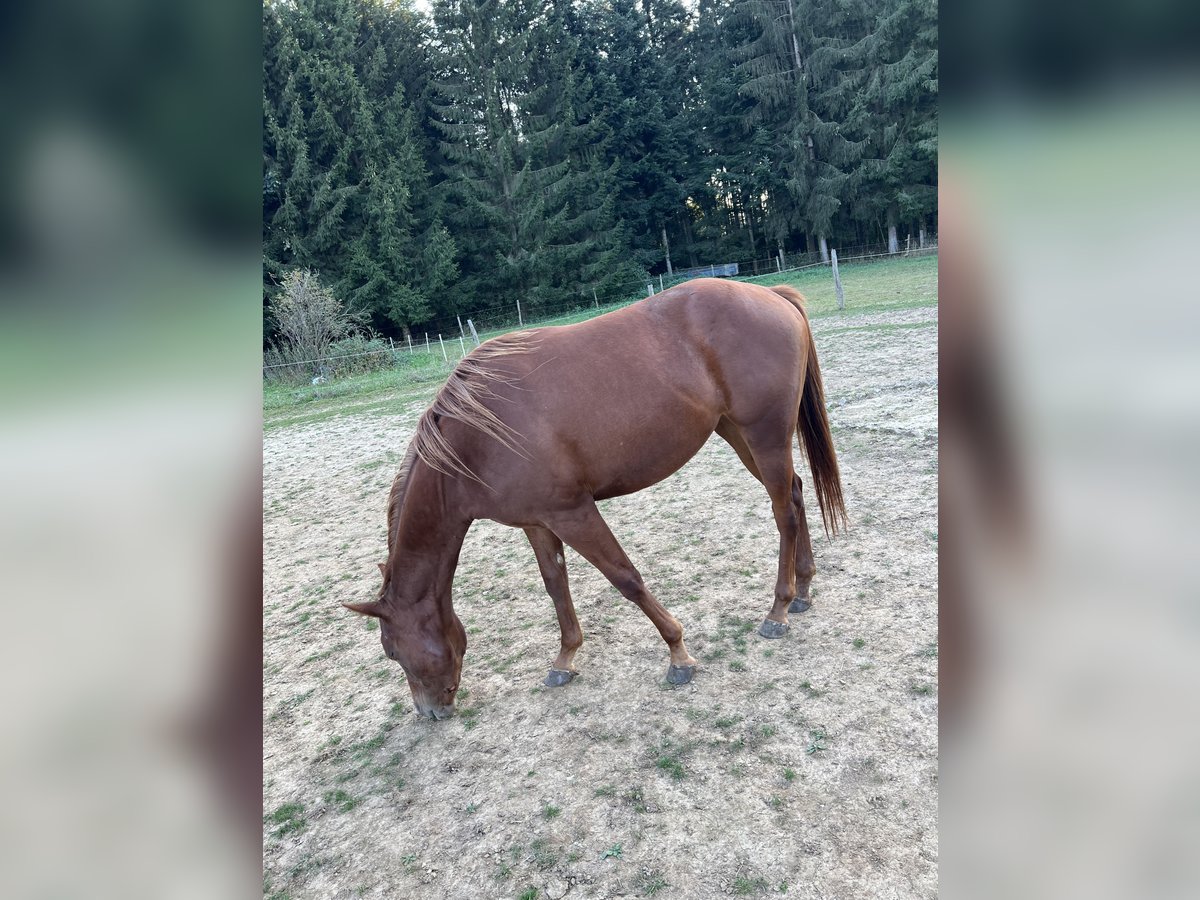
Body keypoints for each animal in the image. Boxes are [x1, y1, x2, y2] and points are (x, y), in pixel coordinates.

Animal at [343, 278, 849, 724]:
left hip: (764, 435)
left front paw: (678, 654)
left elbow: (625, 578)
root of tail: (771, 295)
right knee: (796, 495)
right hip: (739, 434)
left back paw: (778, 609)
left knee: (783, 513)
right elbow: (555, 585)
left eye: (393, 651)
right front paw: (564, 660)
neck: (477, 437)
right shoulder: (538, 522)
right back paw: (804, 589)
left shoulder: (574, 513)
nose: (429, 712)